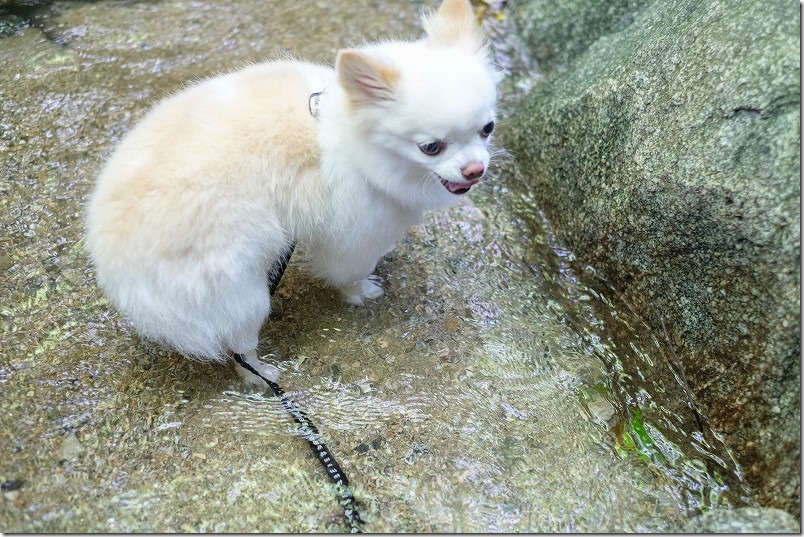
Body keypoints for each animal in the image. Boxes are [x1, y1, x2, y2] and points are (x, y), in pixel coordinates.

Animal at [86, 0, 496, 378]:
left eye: (488, 128)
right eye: (431, 147)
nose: (476, 169)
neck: (342, 129)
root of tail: (116, 260)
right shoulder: (356, 236)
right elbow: (351, 271)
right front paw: (361, 292)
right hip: (242, 294)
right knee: (240, 350)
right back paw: (263, 374)